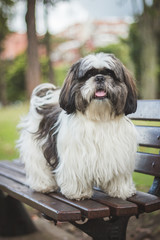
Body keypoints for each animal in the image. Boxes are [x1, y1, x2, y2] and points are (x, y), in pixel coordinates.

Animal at [17, 53, 138, 201]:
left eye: (110, 73)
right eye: (88, 75)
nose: (99, 77)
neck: (100, 118)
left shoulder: (119, 155)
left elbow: (119, 176)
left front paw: (121, 190)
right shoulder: (76, 158)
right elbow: (77, 175)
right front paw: (79, 193)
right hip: (36, 148)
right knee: (39, 167)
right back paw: (44, 186)